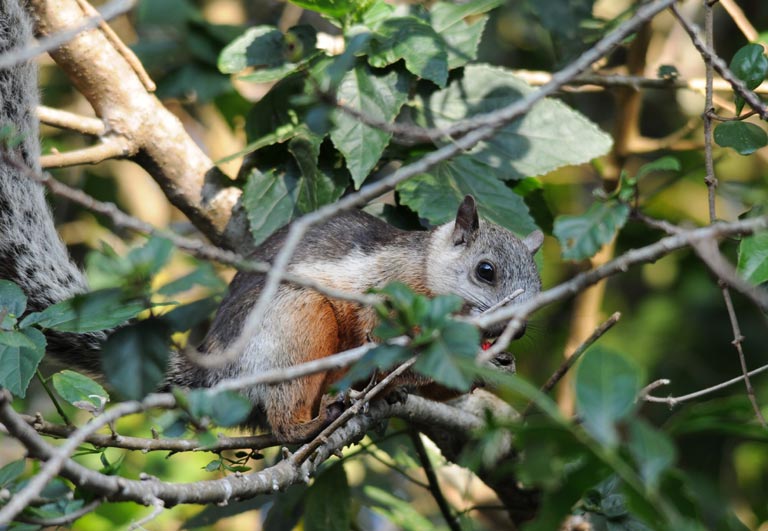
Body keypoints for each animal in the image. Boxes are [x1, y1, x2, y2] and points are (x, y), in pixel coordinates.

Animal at [0, 0, 544, 444]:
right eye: (486, 271)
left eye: (538, 290)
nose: (511, 330)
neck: (427, 268)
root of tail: (218, 375)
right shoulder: (384, 290)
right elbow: (382, 344)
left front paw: (496, 363)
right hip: (296, 323)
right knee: (283, 413)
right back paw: (311, 423)